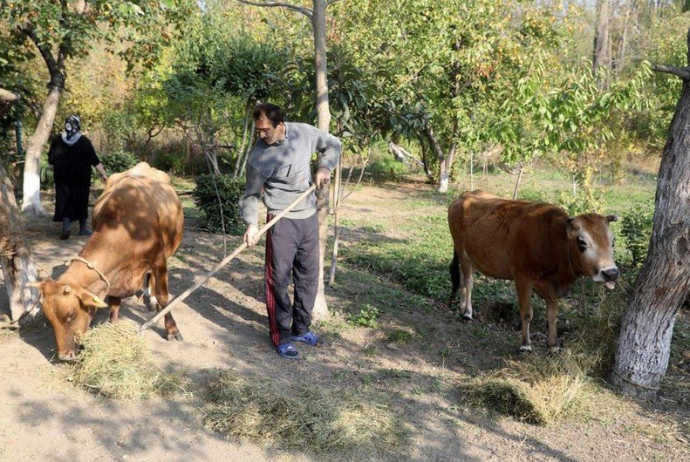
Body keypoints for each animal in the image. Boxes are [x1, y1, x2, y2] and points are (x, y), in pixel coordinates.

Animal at [31, 162, 183, 360]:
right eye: (49, 318)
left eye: (71, 314)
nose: (65, 356)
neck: (128, 227)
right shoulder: (114, 275)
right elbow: (114, 300)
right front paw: (112, 325)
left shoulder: (158, 260)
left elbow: (165, 296)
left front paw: (172, 329)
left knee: (152, 279)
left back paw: (151, 298)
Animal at [446, 189, 620, 352]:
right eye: (581, 242)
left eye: (612, 242)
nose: (611, 273)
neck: (552, 242)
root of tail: (465, 195)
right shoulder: (522, 278)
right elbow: (527, 312)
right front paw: (525, 344)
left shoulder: (551, 288)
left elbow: (552, 317)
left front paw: (553, 346)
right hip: (462, 251)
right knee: (468, 281)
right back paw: (467, 312)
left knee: (463, 278)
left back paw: (461, 307)